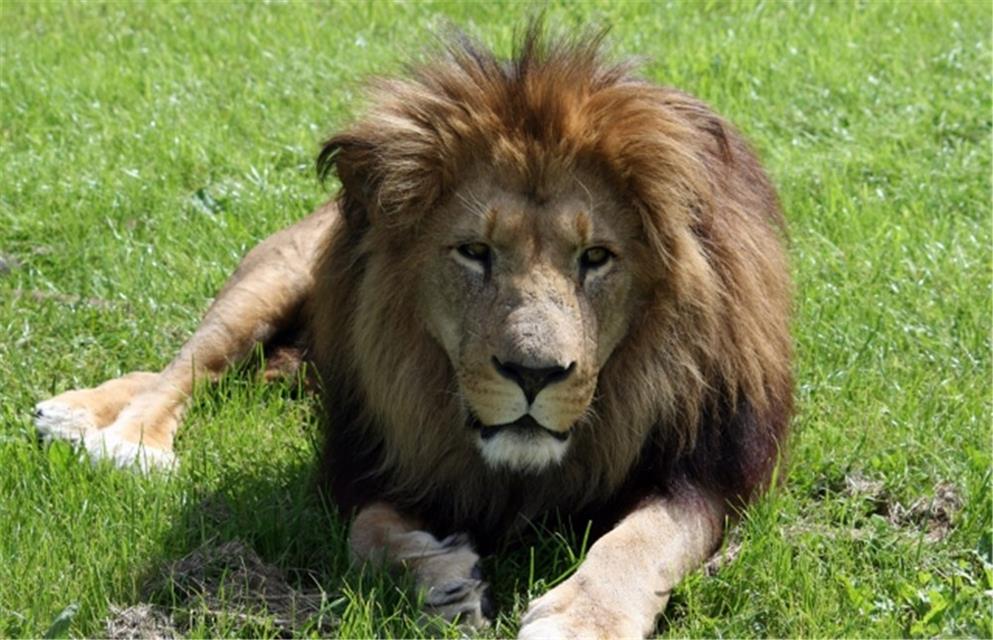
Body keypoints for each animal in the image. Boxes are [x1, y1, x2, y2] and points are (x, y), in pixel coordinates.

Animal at [33, 25, 792, 638]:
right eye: (474, 252)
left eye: (596, 257)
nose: (533, 375)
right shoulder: (371, 452)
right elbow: (366, 534)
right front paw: (440, 577)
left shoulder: (712, 466)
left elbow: (642, 540)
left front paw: (581, 620)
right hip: (272, 277)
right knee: (187, 365)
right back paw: (118, 435)